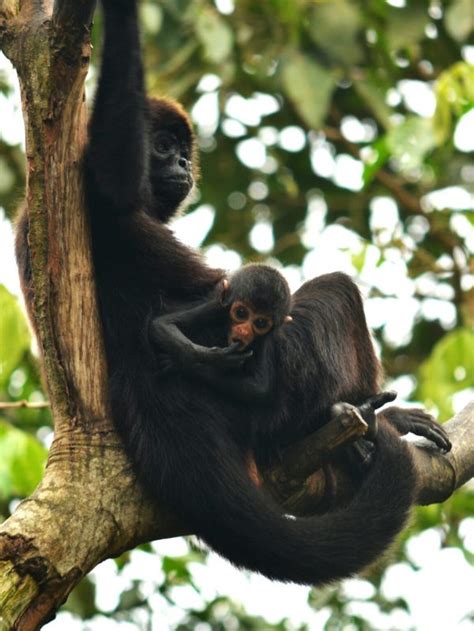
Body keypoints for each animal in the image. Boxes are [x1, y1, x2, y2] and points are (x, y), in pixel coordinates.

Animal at [14, 0, 450, 588]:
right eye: (163, 147)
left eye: (182, 151)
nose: (182, 165)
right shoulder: (97, 189)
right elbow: (117, 166)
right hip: (282, 389)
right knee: (334, 292)